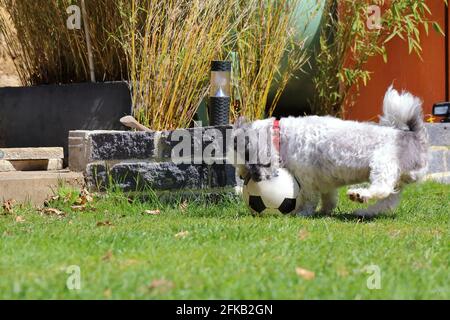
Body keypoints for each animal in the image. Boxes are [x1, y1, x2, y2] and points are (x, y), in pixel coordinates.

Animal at [232, 86, 428, 218]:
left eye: (246, 159)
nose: (241, 176)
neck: (282, 136)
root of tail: (413, 136)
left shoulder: (307, 180)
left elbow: (309, 199)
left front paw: (303, 213)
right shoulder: (325, 181)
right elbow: (329, 198)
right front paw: (325, 211)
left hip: (383, 164)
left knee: (382, 188)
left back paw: (359, 195)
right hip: (397, 181)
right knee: (387, 201)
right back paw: (363, 211)